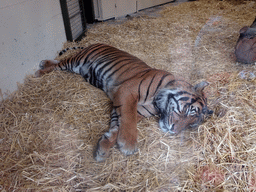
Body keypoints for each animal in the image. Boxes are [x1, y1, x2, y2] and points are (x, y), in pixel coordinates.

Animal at [35, 42, 213, 161]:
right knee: (59, 63)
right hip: (77, 61)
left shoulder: (134, 110)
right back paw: (41, 69)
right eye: (189, 111)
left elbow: (116, 127)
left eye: (191, 125)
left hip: (79, 67)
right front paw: (128, 144)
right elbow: (128, 120)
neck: (157, 105)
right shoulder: (127, 92)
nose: (174, 132)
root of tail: (95, 42)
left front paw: (103, 148)